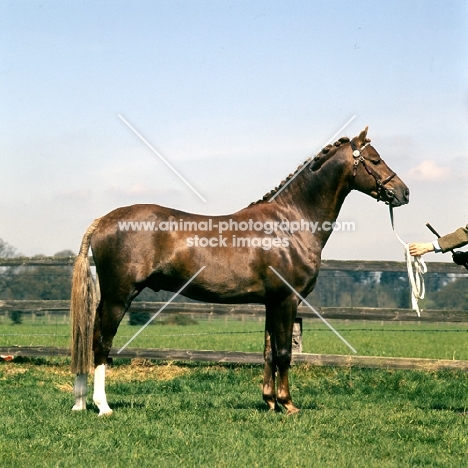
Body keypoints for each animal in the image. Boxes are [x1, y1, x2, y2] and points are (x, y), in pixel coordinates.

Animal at [70, 126, 410, 414]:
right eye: (375, 160)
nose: (404, 192)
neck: (291, 222)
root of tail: (103, 220)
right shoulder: (287, 300)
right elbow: (284, 353)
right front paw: (288, 405)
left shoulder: (272, 302)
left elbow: (269, 352)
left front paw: (270, 402)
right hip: (118, 297)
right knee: (100, 343)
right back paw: (101, 406)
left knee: (89, 341)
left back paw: (79, 403)